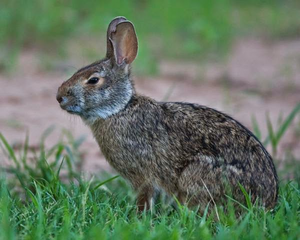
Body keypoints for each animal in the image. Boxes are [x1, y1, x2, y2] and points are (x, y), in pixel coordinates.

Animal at [56, 16, 278, 212]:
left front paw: (139, 216)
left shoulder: (143, 175)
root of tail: (267, 202)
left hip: (196, 175)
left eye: (93, 80)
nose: (59, 97)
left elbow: (145, 196)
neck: (120, 109)